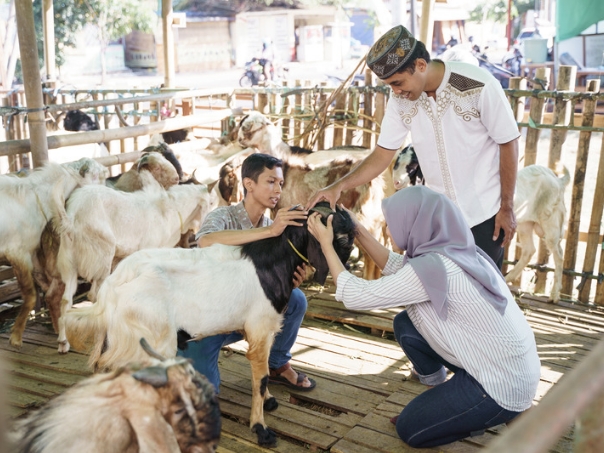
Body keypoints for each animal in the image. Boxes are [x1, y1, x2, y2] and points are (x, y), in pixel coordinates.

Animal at [54, 170, 219, 354]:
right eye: (211, 202)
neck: (170, 209)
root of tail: (72, 217)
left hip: (69, 262)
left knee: (66, 300)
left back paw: (63, 343)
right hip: (102, 255)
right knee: (94, 295)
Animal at [63, 203, 356, 446]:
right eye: (340, 237)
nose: (345, 272)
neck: (270, 263)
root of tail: (113, 285)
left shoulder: (265, 328)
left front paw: (269, 401)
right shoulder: (260, 326)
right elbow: (260, 376)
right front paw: (260, 428)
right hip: (151, 337)